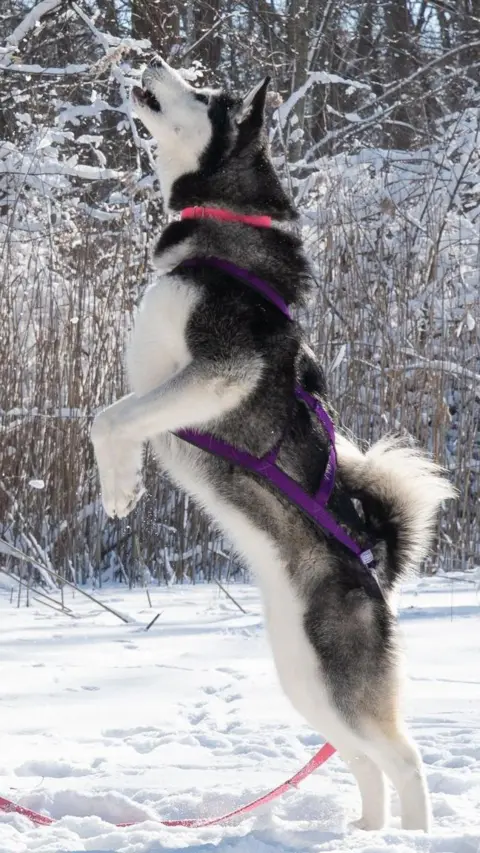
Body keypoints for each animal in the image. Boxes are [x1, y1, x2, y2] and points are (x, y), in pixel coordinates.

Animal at [92, 58, 456, 832]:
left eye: (206, 95)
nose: (151, 61)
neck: (225, 226)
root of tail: (376, 576)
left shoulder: (219, 371)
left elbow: (109, 417)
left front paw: (117, 486)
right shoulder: (155, 383)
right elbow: (117, 419)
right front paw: (123, 484)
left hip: (338, 678)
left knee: (402, 757)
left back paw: (410, 837)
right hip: (306, 681)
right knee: (363, 761)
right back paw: (362, 834)